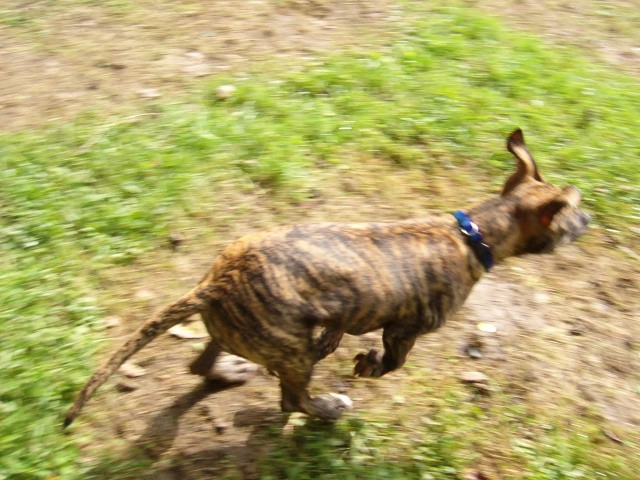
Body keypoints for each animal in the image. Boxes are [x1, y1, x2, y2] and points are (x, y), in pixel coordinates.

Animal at [65, 128, 592, 428]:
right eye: (573, 215)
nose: (590, 221)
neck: (474, 232)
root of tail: (216, 284)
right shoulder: (407, 329)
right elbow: (391, 361)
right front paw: (366, 367)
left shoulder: (343, 310)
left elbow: (337, 329)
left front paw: (334, 344)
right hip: (289, 352)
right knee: (292, 401)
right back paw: (329, 407)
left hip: (249, 330)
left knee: (203, 364)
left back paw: (231, 371)